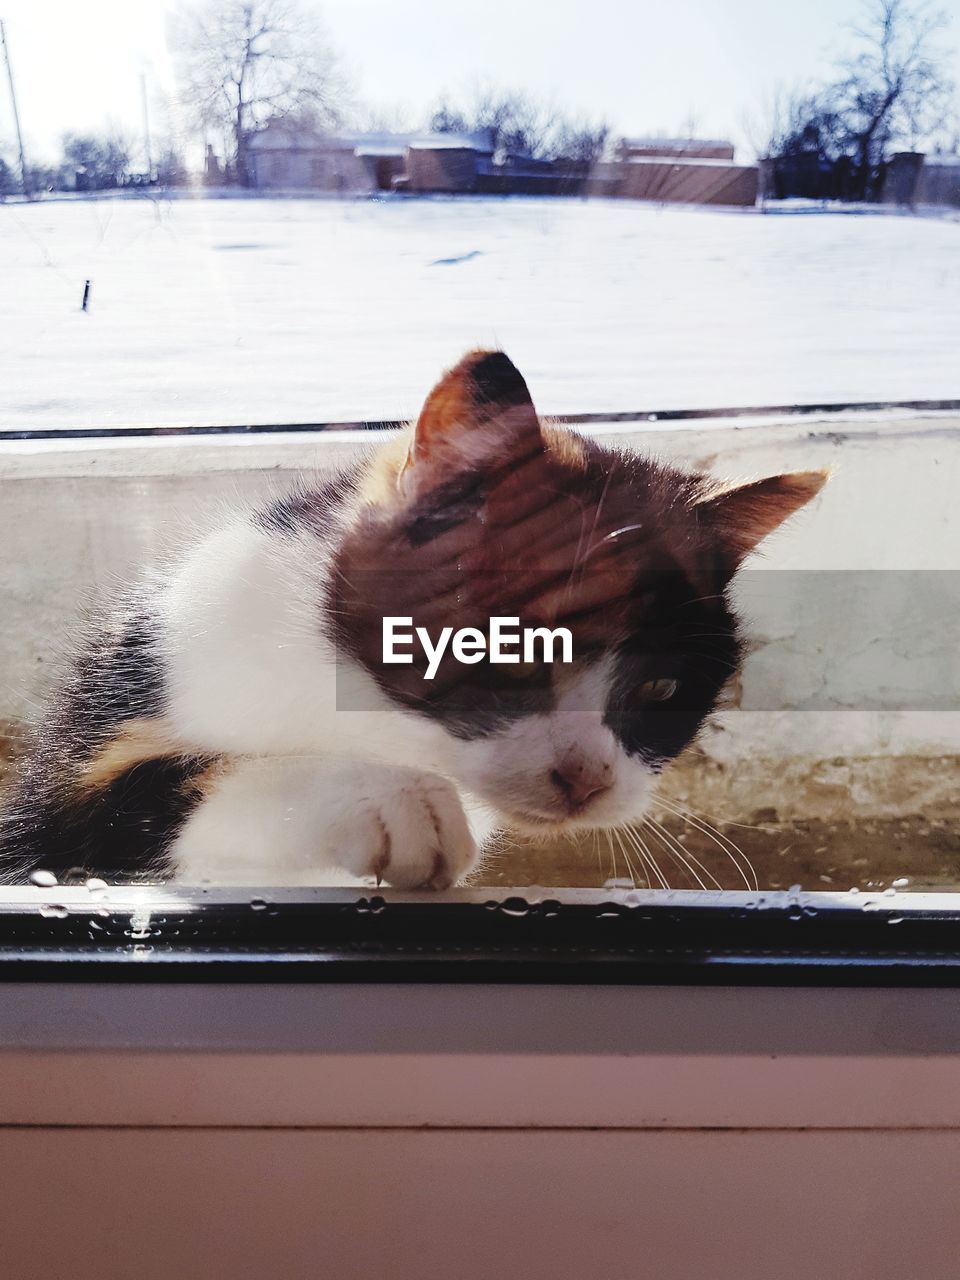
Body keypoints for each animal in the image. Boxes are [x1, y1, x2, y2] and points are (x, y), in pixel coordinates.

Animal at [0, 353, 829, 890]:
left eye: (661, 690)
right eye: (507, 644)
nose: (587, 779)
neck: (382, 721)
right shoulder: (82, 777)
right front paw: (388, 799)